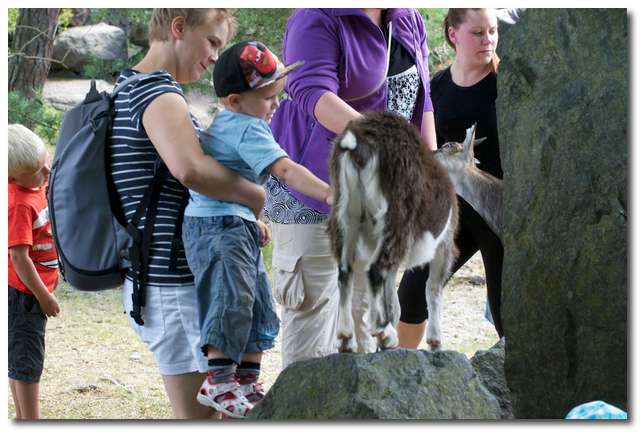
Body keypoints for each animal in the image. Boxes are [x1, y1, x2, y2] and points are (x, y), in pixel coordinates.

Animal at [328, 111, 458, 352]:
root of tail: (356, 141)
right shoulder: (445, 245)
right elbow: (433, 288)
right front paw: (436, 342)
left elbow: (391, 293)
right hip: (396, 217)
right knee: (375, 269)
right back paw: (385, 334)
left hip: (346, 214)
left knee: (345, 270)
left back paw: (347, 339)